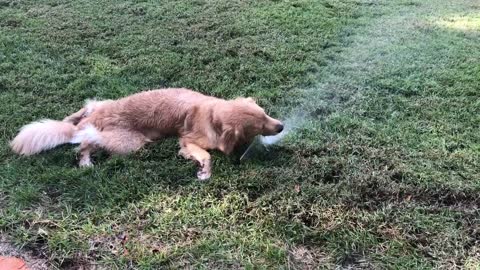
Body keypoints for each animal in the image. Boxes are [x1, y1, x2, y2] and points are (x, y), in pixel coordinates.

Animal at [9, 88, 284, 179]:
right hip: (130, 142)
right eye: (259, 126)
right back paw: (86, 161)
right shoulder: (187, 141)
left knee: (85, 111)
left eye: (265, 115)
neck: (212, 113)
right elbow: (206, 155)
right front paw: (204, 172)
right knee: (84, 141)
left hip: (99, 108)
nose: (282, 126)